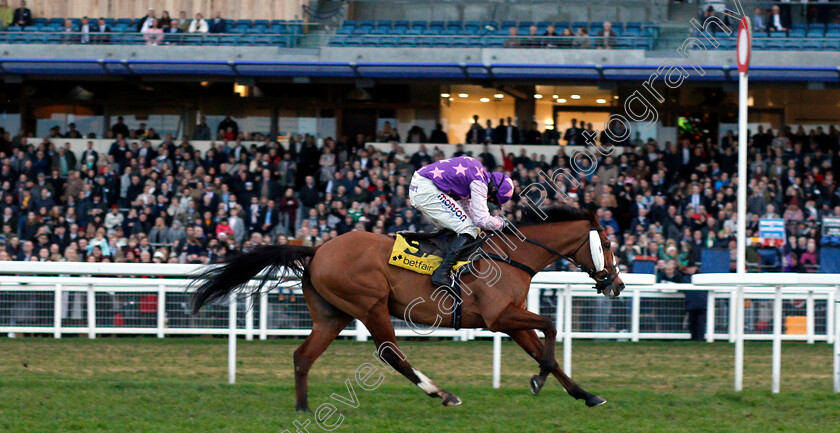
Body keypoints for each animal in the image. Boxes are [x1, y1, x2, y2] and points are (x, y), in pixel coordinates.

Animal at [190, 206, 624, 408]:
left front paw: (585, 394)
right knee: (390, 354)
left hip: (332, 315)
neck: (512, 256)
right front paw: (538, 380)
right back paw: (442, 393)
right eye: (607, 242)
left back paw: (302, 408)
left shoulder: (511, 320)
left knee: (303, 356)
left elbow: (545, 349)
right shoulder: (499, 316)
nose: (617, 284)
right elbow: (550, 327)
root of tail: (317, 250)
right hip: (371, 305)